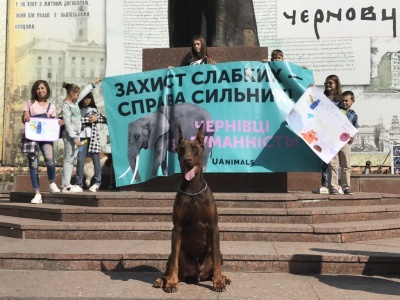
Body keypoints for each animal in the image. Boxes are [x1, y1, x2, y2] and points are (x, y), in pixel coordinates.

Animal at [154, 123, 230, 292]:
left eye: (195, 148)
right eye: (181, 149)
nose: (187, 160)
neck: (193, 189)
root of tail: (198, 275)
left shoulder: (214, 226)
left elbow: (216, 259)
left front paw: (218, 281)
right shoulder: (177, 228)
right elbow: (174, 261)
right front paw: (172, 282)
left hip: (216, 254)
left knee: (216, 259)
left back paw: (223, 277)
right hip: (177, 255)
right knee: (171, 263)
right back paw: (163, 280)